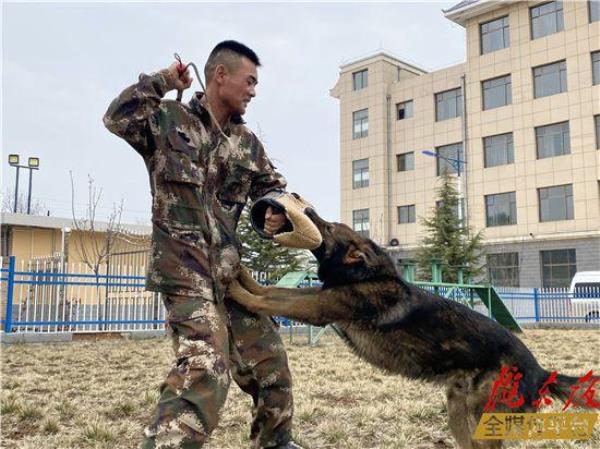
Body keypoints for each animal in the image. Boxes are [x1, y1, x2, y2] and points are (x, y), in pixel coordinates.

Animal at [230, 208, 596, 446]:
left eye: (330, 228)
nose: (306, 207)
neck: (368, 274)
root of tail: (540, 371)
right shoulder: (318, 299)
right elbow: (269, 290)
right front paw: (241, 273)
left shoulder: (318, 306)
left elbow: (272, 300)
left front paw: (234, 289)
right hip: (458, 411)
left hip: (482, 417)